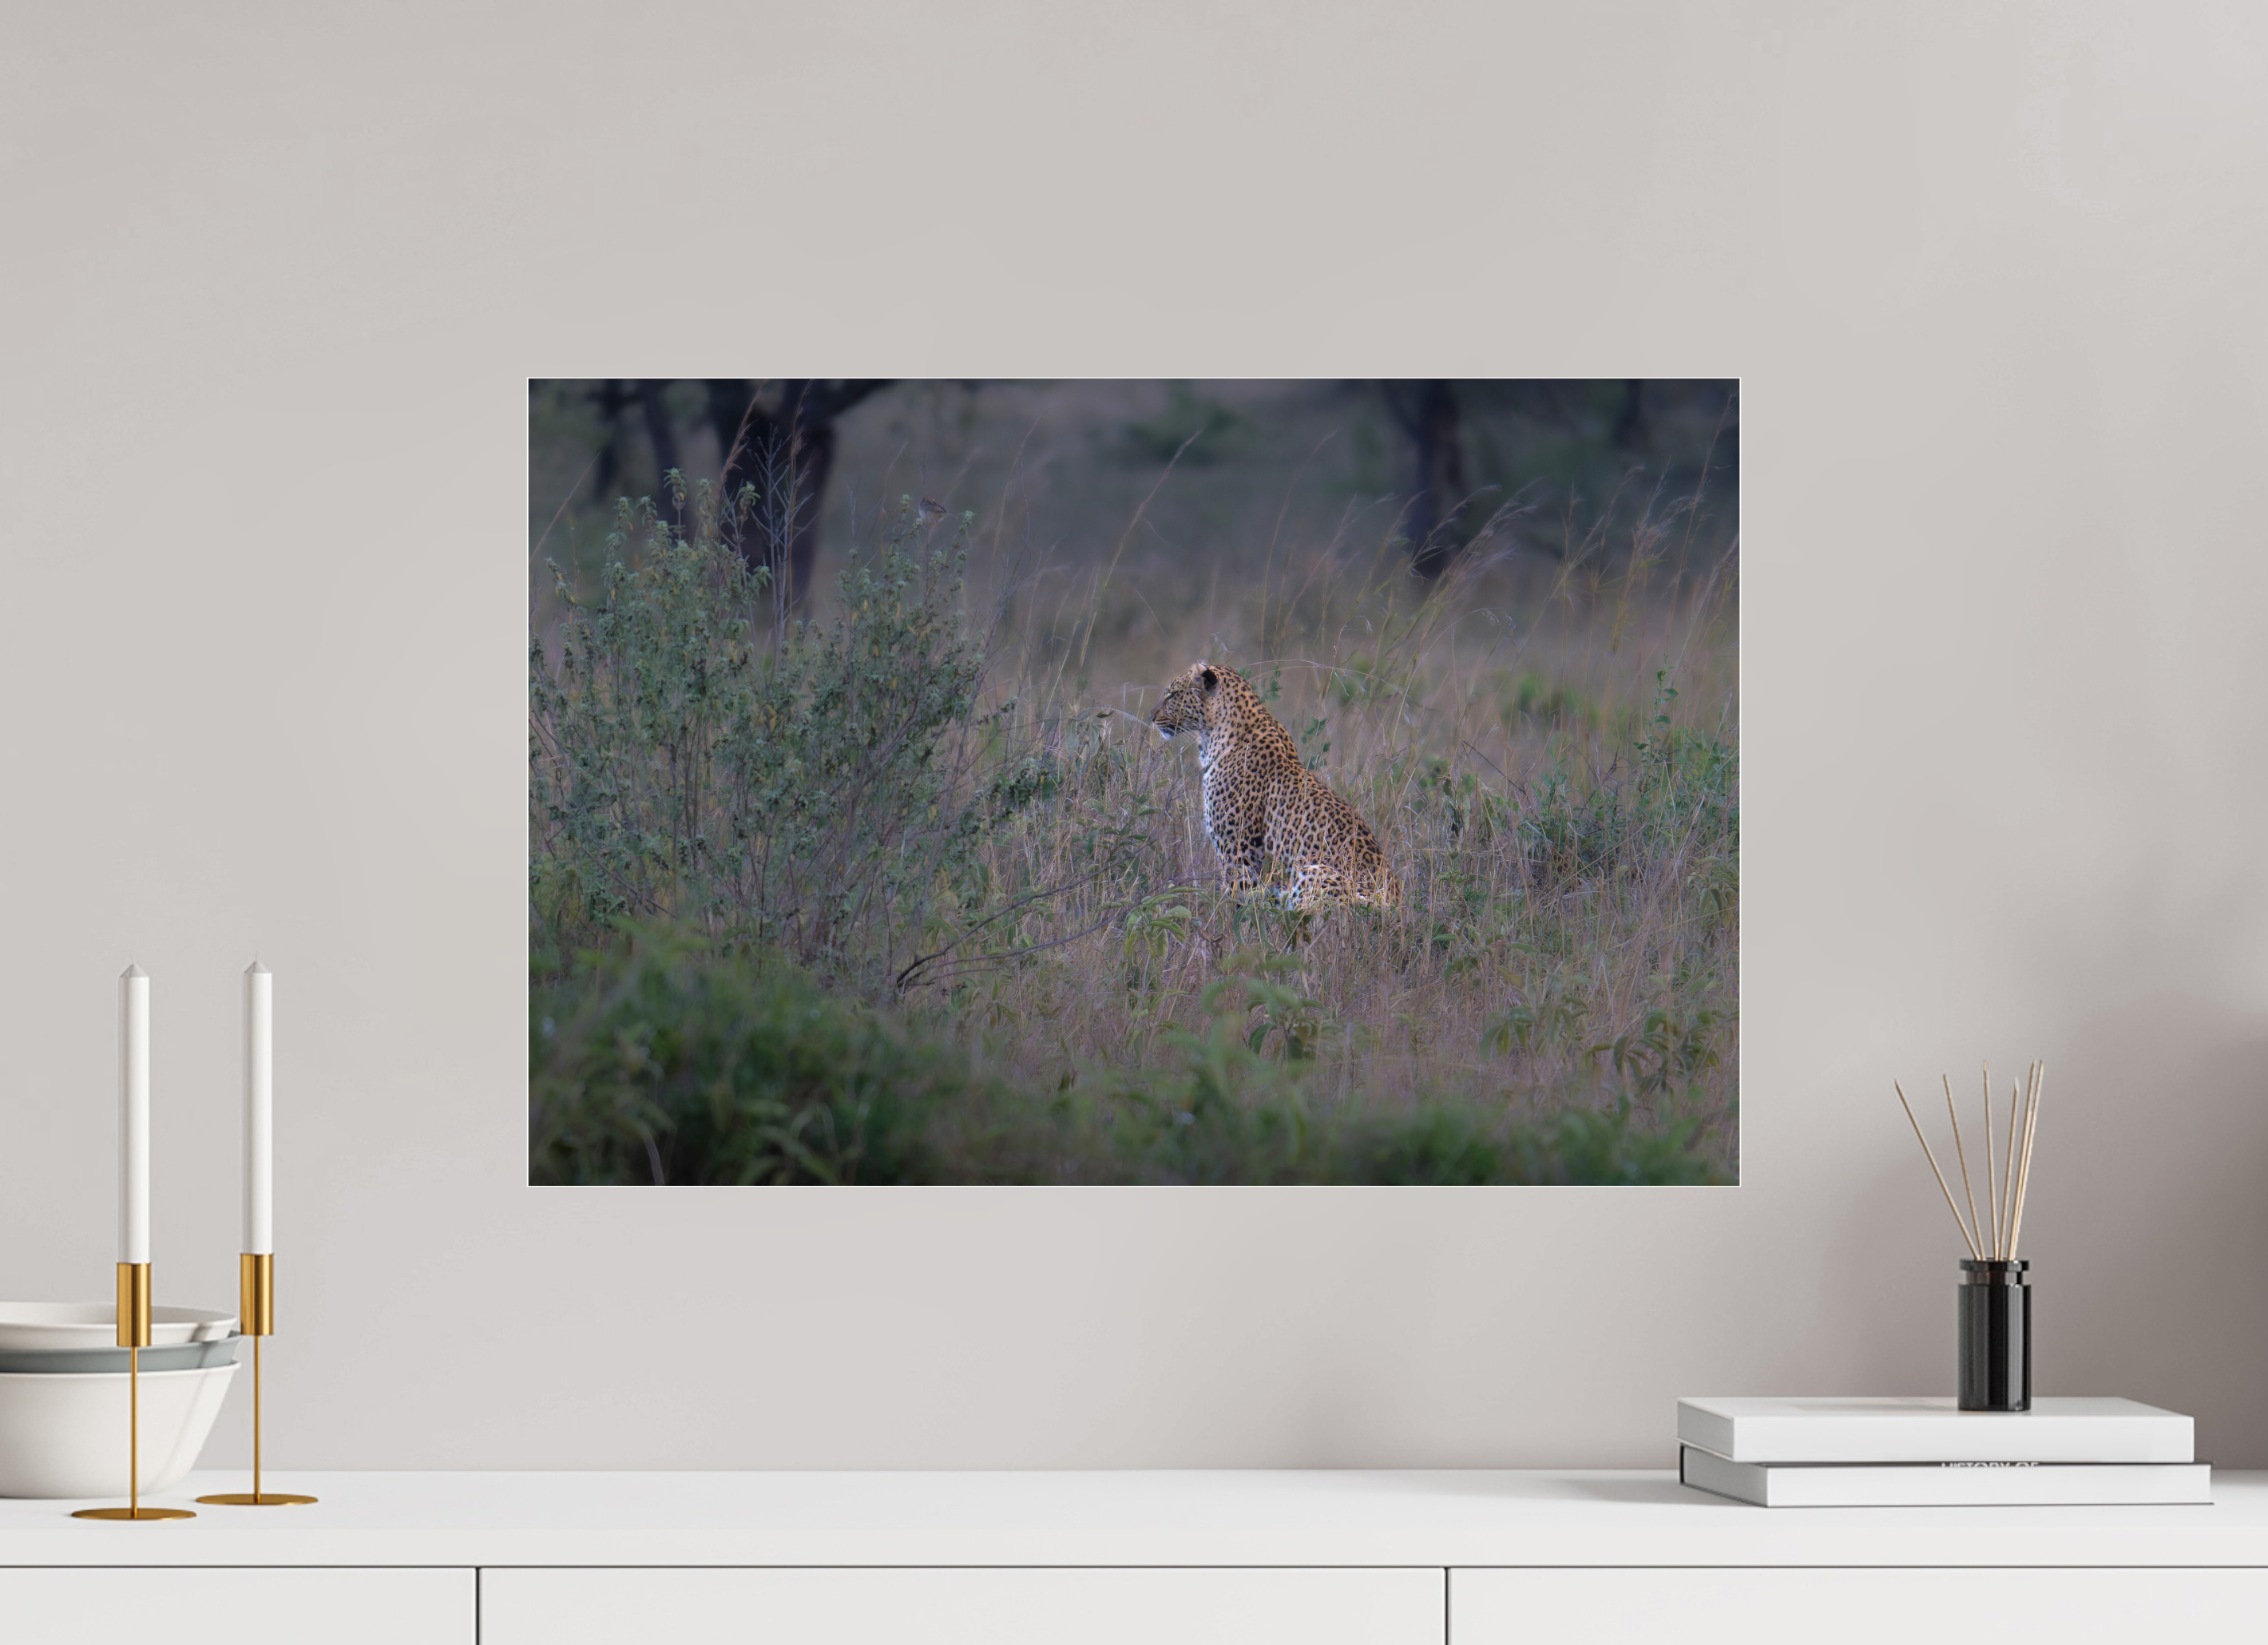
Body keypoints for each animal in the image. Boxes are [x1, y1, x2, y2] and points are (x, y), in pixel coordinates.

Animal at [1150, 662, 1396, 910]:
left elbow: (1236, 901)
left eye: (1173, 694)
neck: (1214, 736)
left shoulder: (1239, 852)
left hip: (1314, 873)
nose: (1151, 717)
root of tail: (1393, 905)